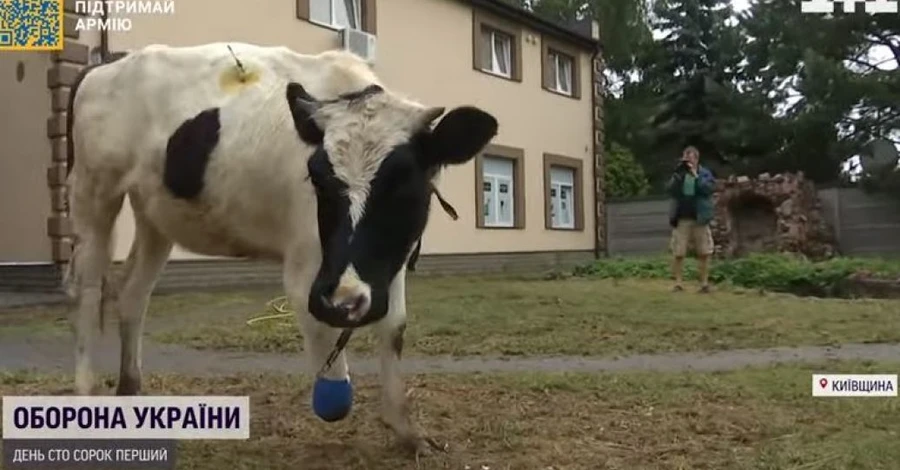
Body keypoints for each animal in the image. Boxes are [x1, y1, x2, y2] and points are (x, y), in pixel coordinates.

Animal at [63, 42, 500, 454]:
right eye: (316, 176)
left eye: (405, 181)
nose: (344, 300)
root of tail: (108, 63)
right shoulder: (308, 267)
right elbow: (330, 369)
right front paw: (335, 392)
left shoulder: (390, 263)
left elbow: (393, 328)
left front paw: (407, 431)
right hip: (93, 191)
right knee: (88, 292)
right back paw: (86, 392)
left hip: (155, 214)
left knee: (133, 293)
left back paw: (131, 390)